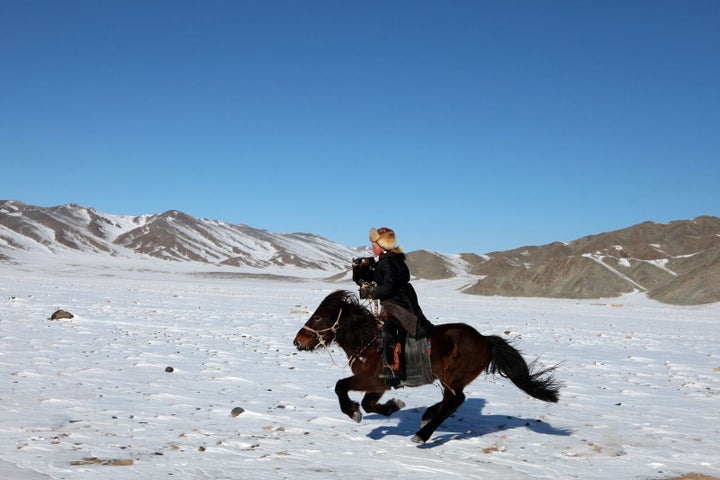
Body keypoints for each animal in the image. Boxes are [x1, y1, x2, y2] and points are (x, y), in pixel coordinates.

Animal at [294, 288, 564, 442]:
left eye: (319, 317)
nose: (298, 341)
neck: (368, 341)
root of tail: (485, 340)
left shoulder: (371, 379)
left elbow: (341, 387)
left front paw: (353, 412)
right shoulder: (378, 386)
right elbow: (369, 404)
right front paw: (393, 406)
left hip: (453, 377)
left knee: (454, 401)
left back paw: (422, 435)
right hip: (450, 379)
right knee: (450, 401)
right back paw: (426, 417)